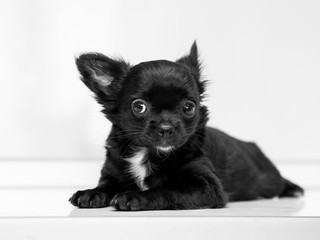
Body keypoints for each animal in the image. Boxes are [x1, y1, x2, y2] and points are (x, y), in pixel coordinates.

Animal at [69, 42, 302, 210]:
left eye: (189, 107)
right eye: (139, 106)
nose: (166, 128)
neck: (149, 153)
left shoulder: (206, 187)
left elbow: (168, 190)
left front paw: (136, 196)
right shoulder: (113, 171)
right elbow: (106, 186)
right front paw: (91, 193)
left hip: (269, 178)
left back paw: (293, 188)